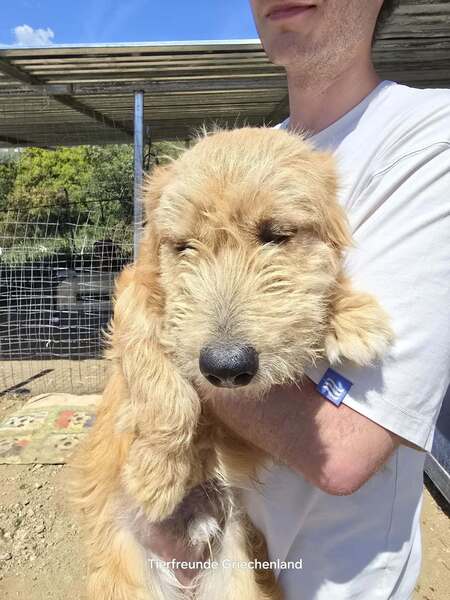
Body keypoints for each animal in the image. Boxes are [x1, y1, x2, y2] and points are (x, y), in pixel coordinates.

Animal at [71, 126, 393, 600]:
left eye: (276, 235)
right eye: (184, 246)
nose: (224, 368)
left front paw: (352, 313)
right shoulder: (135, 293)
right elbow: (155, 372)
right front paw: (157, 470)